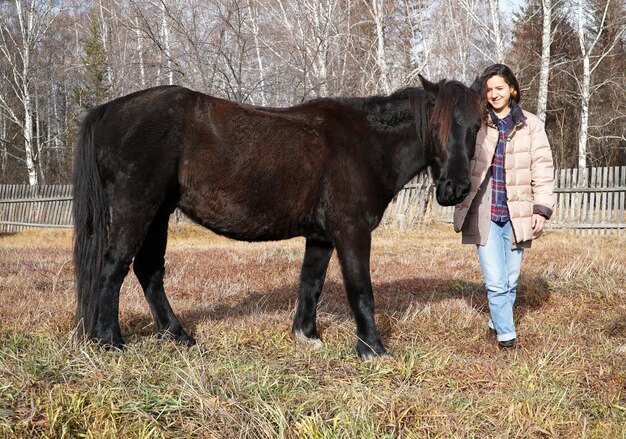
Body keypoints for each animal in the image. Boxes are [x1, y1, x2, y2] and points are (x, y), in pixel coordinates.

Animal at [72, 75, 478, 358]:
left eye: (475, 127)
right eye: (437, 128)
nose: (456, 189)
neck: (364, 143)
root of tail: (108, 110)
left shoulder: (322, 235)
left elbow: (311, 282)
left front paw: (307, 336)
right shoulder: (352, 230)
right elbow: (361, 289)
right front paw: (372, 350)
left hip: (158, 214)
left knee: (149, 271)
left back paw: (177, 335)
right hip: (137, 208)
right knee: (114, 267)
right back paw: (110, 341)